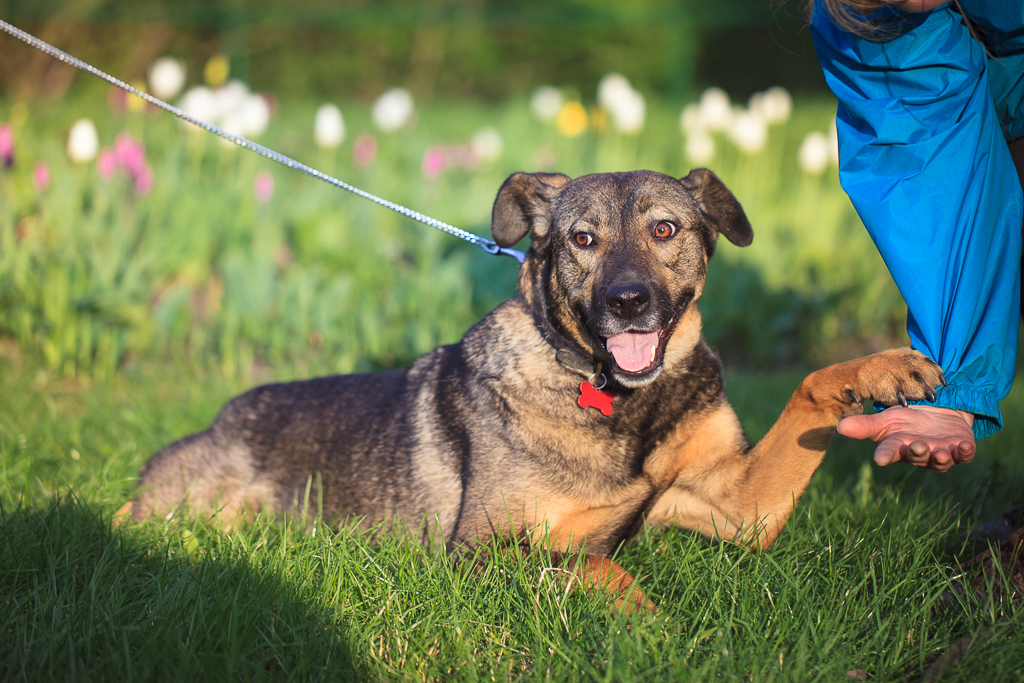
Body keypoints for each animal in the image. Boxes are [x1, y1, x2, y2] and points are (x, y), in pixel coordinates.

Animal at [134, 167, 942, 610]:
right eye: (582, 240)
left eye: (665, 228)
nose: (627, 302)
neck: (621, 401)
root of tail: (222, 416)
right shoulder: (482, 547)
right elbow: (599, 564)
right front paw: (651, 625)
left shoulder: (739, 507)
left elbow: (811, 384)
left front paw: (884, 367)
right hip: (183, 506)